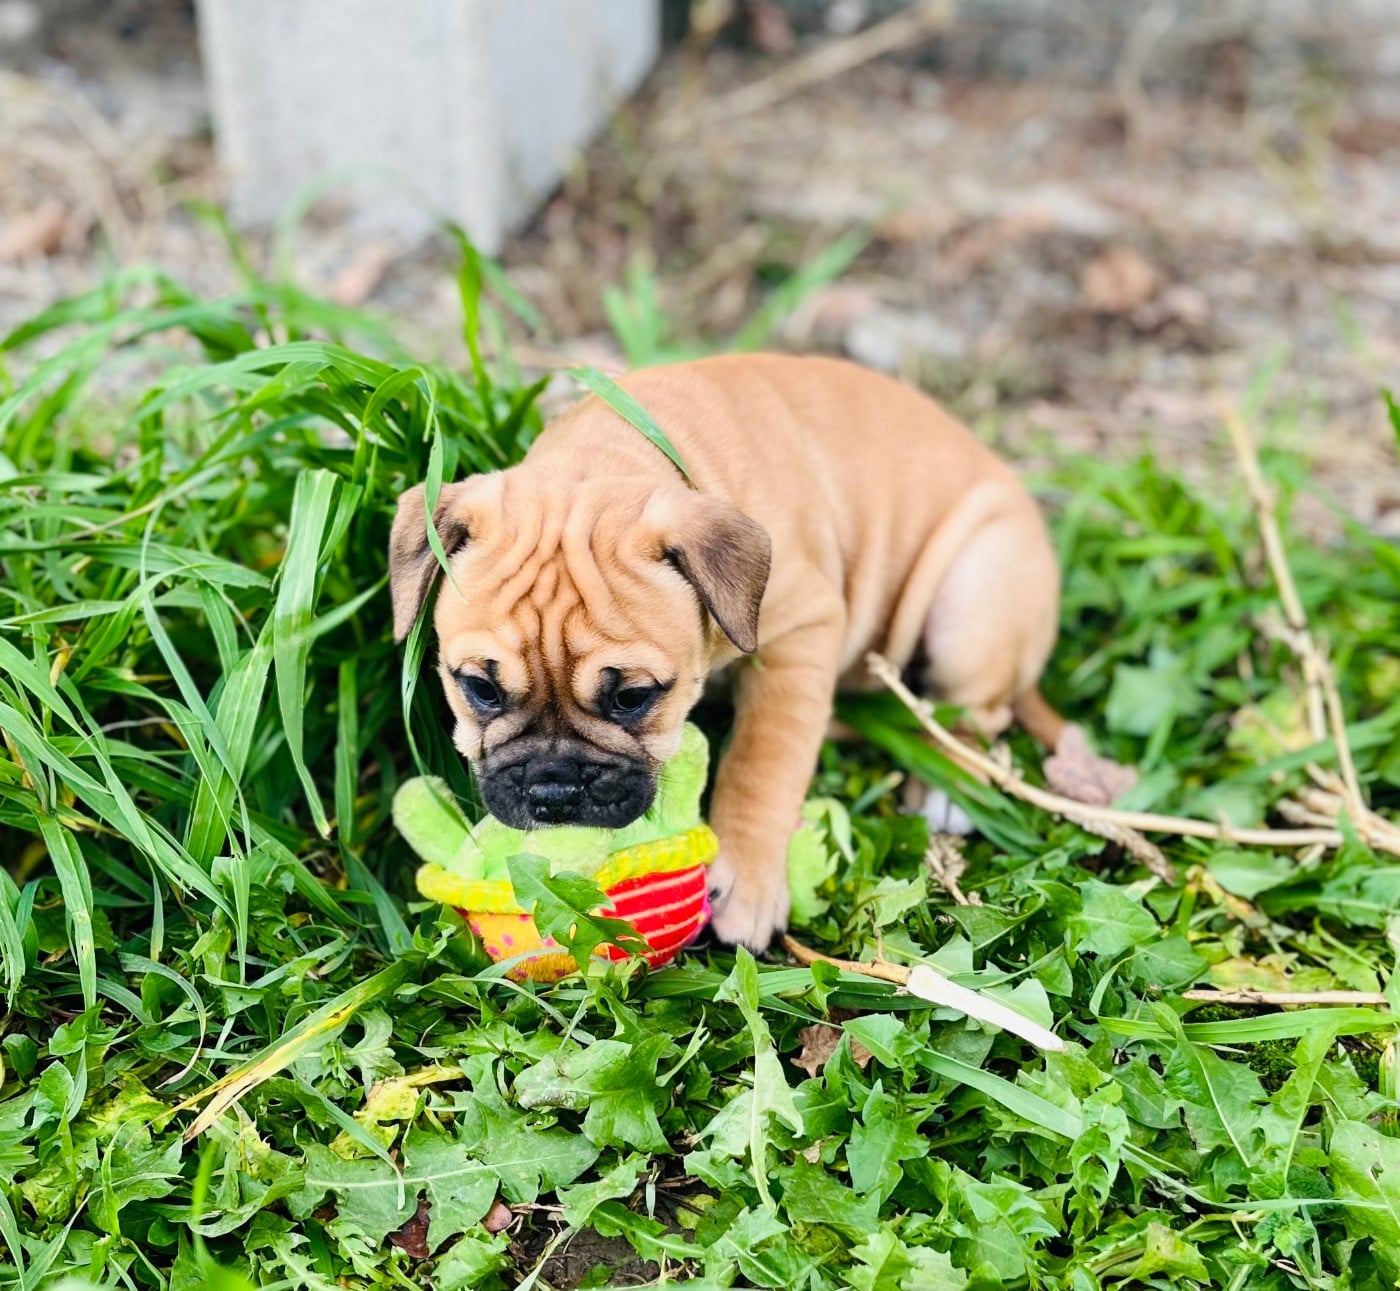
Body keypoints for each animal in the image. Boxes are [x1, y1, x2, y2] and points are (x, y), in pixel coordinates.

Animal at [389, 353, 1077, 951]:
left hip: (974, 600)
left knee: (977, 710)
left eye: (633, 697)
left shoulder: (799, 635)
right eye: (481, 689)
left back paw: (947, 783)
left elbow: (762, 763)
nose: (553, 794)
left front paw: (745, 877)